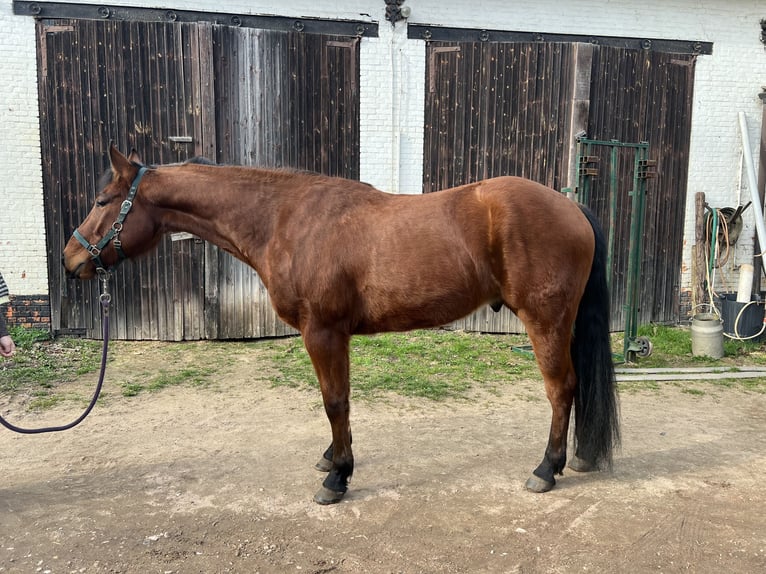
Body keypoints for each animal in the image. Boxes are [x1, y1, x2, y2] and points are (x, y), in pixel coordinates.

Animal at [63, 145, 620, 505]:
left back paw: (547, 469)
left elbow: (334, 401)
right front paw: (334, 458)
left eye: (101, 202)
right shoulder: (333, 336)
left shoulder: (323, 331)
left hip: (546, 320)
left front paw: (338, 480)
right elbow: (338, 401)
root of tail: (572, 207)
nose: (71, 260)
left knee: (561, 388)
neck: (285, 220)